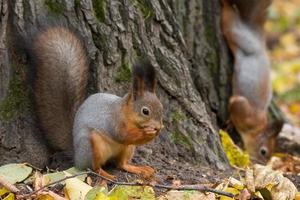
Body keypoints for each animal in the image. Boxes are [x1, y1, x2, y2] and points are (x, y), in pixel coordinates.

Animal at [29, 27, 163, 180]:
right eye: (145, 111)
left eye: (161, 108)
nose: (158, 127)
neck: (127, 114)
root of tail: (77, 156)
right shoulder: (113, 120)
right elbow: (122, 135)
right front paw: (148, 132)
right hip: (92, 145)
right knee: (93, 167)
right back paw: (105, 174)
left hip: (127, 148)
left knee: (121, 164)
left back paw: (139, 169)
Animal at [221, 0, 282, 161]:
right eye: (263, 151)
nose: (261, 163)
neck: (257, 126)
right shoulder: (241, 106)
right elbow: (235, 103)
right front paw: (230, 121)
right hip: (237, 35)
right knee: (229, 17)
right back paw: (225, 4)